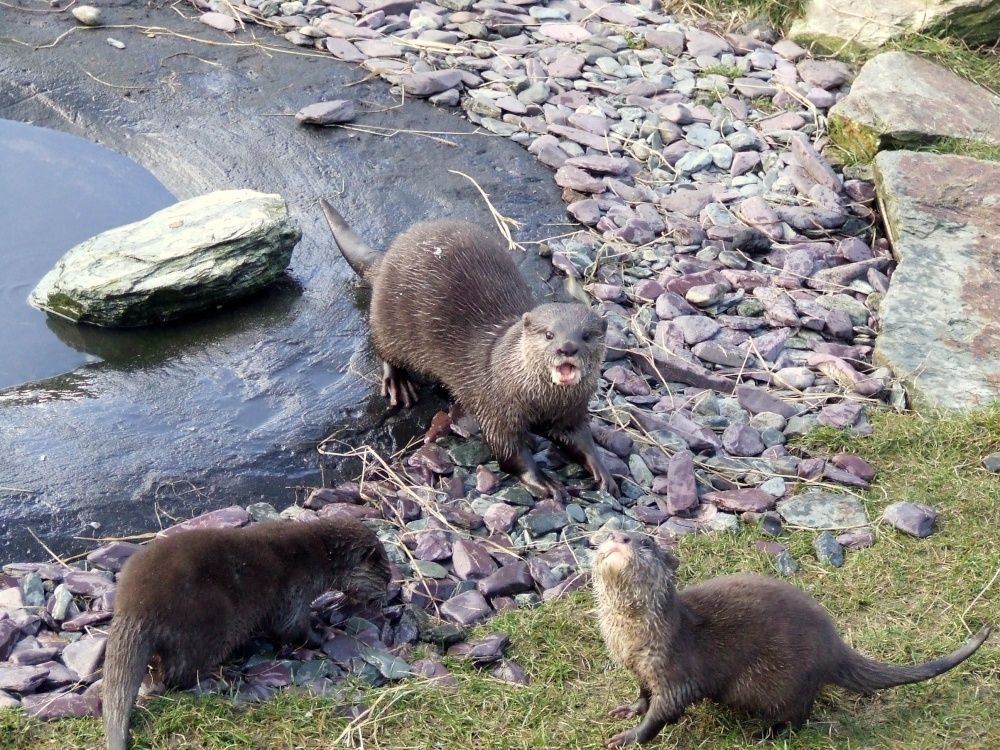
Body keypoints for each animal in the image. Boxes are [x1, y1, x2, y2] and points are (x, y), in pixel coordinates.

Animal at [102, 517, 390, 750]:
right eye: (386, 578)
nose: (388, 596)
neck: (316, 556)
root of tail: (135, 607)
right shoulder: (295, 592)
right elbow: (293, 628)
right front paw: (325, 634)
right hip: (211, 624)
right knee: (177, 674)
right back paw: (221, 675)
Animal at [321, 199, 617, 501]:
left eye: (586, 336)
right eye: (549, 334)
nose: (567, 347)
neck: (537, 399)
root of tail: (387, 258)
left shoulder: (571, 412)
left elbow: (580, 438)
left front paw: (602, 470)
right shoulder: (495, 407)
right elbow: (508, 451)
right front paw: (544, 482)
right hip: (392, 318)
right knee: (383, 346)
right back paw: (399, 384)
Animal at [592, 532, 990, 747]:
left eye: (646, 541)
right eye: (610, 532)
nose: (620, 538)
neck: (635, 638)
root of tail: (834, 647)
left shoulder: (677, 672)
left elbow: (665, 711)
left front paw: (629, 737)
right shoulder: (642, 668)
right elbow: (645, 696)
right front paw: (628, 710)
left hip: (783, 681)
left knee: (799, 714)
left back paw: (767, 734)